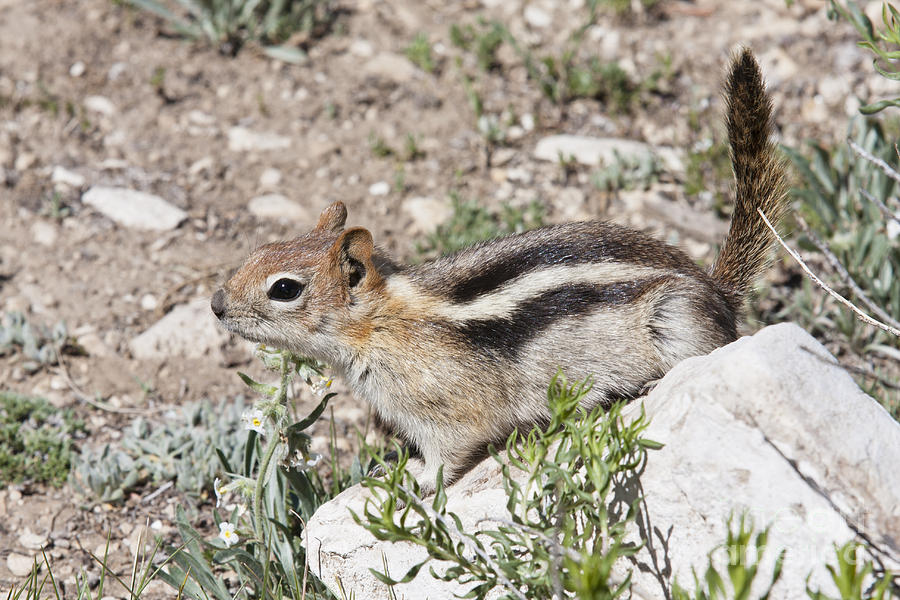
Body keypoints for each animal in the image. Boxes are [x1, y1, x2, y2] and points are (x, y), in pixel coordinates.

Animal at [211, 49, 788, 494]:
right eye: (261, 249)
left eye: (285, 289)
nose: (216, 305)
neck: (380, 324)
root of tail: (717, 289)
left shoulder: (446, 410)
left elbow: (448, 453)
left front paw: (414, 481)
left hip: (676, 318)